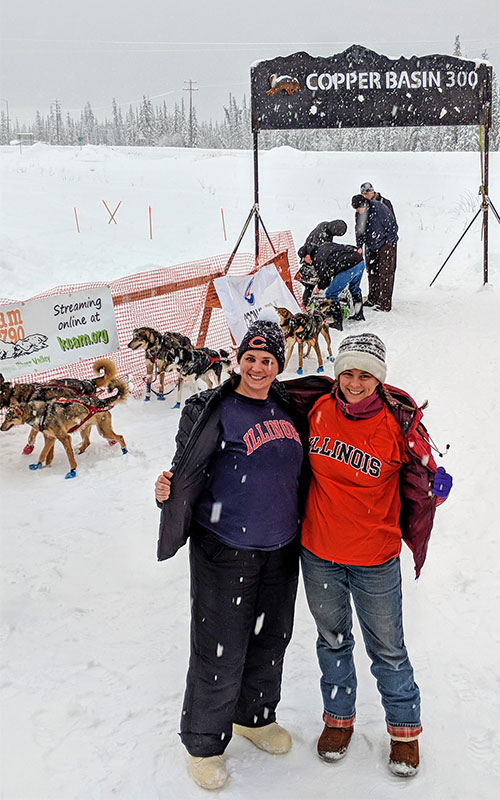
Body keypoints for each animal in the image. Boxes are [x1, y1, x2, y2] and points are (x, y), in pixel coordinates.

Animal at [0, 374, 129, 476]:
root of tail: (102, 401)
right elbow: (43, 453)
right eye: (5, 418)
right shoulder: (50, 438)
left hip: (103, 430)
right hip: (85, 427)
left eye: (8, 418)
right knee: (87, 441)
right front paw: (39, 465)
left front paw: (72, 471)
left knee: (120, 436)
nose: (1, 428)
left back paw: (124, 450)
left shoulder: (64, 437)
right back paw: (81, 449)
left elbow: (68, 455)